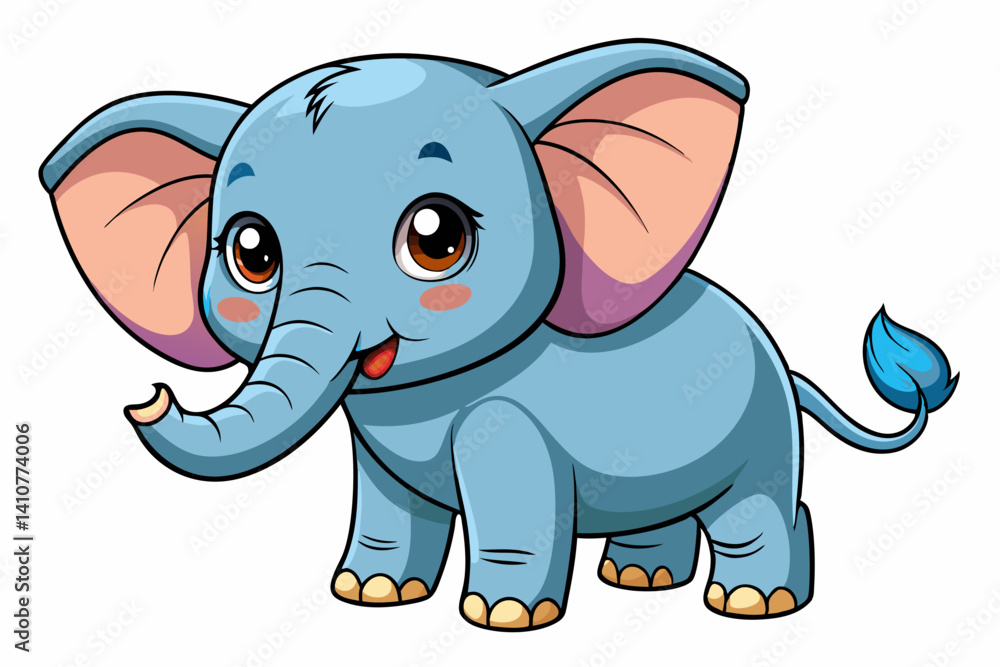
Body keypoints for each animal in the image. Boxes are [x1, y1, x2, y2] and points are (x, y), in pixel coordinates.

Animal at [40, 39, 957, 631]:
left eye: (436, 237)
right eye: (250, 253)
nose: (147, 395)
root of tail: (782, 357)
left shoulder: (509, 423)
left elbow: (514, 494)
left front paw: (503, 617)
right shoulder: (371, 440)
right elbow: (390, 499)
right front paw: (370, 595)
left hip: (761, 429)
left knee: (758, 507)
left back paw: (753, 605)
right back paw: (639, 578)